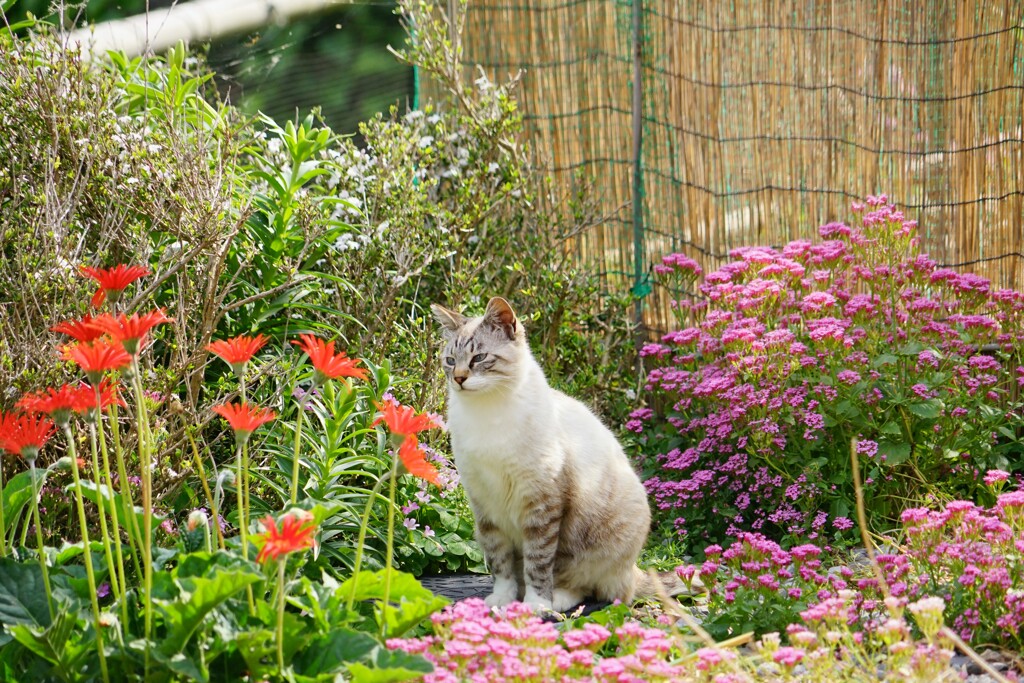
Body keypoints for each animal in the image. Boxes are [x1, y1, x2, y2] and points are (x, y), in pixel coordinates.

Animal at [430, 296, 675, 610]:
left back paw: (556, 599)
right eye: (450, 361)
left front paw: (536, 605)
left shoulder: (541, 504)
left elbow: (537, 562)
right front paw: (502, 599)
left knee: (592, 587)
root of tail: (634, 570)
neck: (487, 412)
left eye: (479, 358)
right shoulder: (486, 507)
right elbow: (500, 563)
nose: (459, 379)